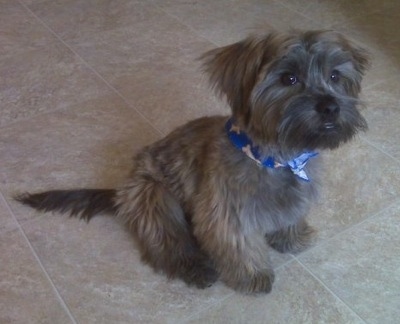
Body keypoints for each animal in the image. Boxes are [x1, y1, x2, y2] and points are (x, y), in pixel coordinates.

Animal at [18, 30, 368, 294]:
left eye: (335, 75)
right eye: (289, 78)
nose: (330, 107)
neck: (274, 157)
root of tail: (120, 190)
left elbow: (290, 216)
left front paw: (290, 238)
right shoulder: (226, 213)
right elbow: (239, 244)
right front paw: (252, 275)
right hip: (156, 196)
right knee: (166, 244)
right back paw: (195, 267)